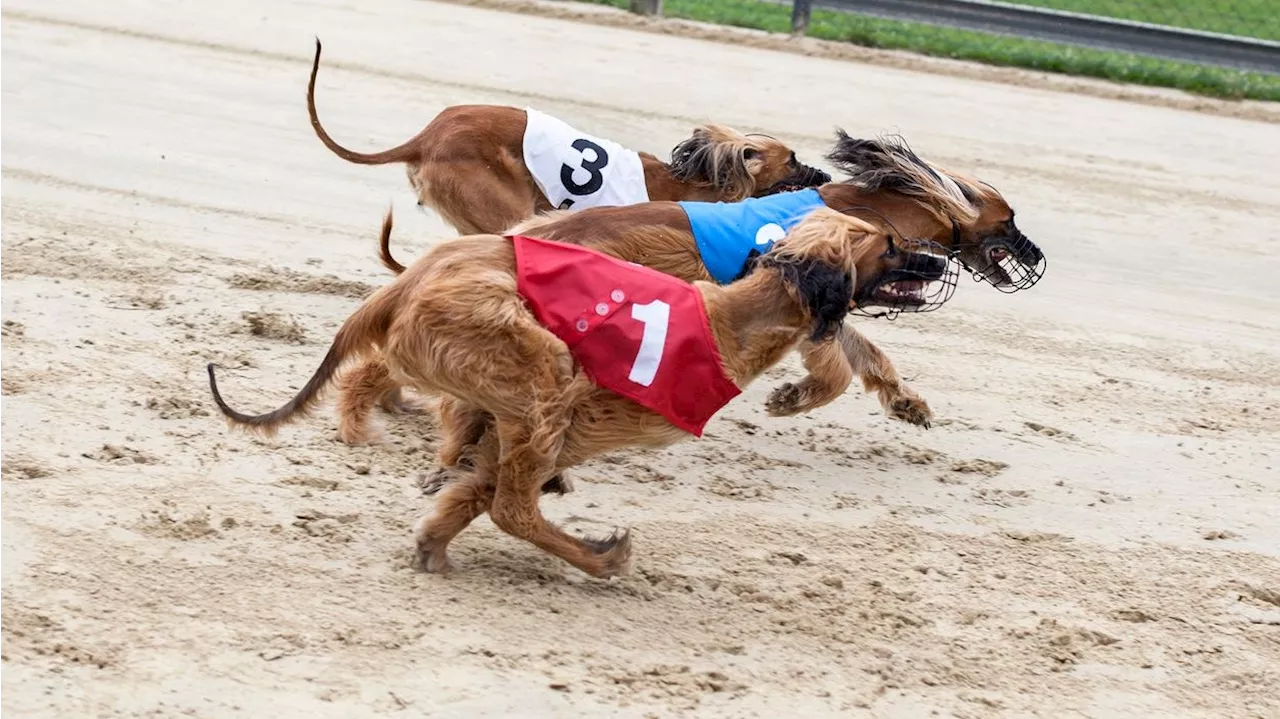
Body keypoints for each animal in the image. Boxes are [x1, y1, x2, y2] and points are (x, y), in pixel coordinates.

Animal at [204, 204, 957, 573]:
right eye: (890, 245)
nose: (938, 260)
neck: (734, 318)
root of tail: (405, 284)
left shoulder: (519, 434)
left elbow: (471, 486)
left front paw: (433, 537)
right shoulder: (560, 421)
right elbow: (500, 495)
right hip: (541, 367)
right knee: (516, 506)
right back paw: (599, 558)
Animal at [345, 126, 1044, 445]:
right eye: (1010, 218)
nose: (1039, 257)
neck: (875, 209)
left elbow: (869, 358)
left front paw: (907, 403)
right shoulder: (812, 301)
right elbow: (837, 370)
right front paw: (791, 399)